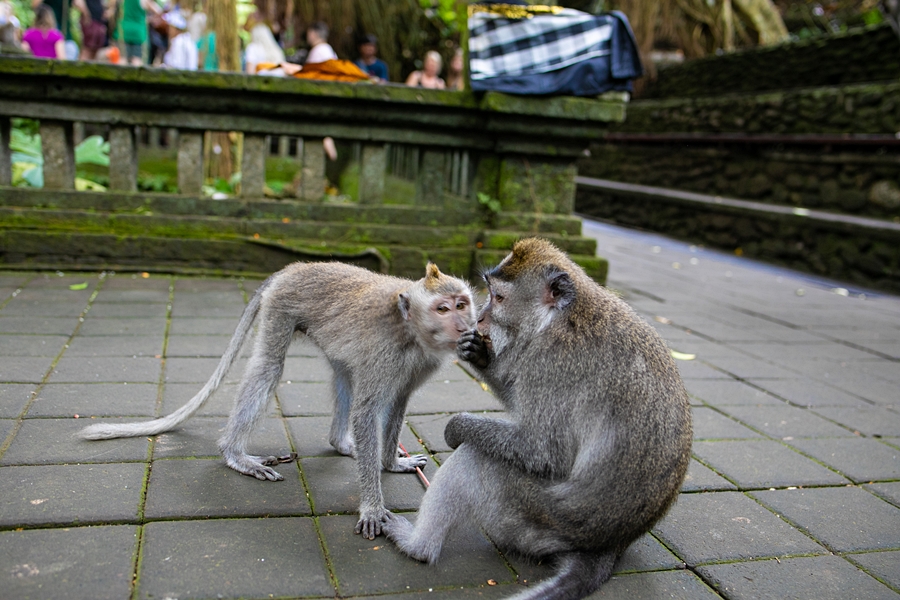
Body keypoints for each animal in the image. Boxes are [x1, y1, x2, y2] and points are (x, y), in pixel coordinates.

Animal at [79, 262, 478, 540]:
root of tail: (295, 268)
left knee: (342, 371)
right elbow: (368, 411)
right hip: (281, 307)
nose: (464, 327)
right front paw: (371, 507)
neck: (410, 332)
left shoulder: (419, 364)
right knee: (269, 367)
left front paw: (390, 463)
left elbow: (398, 402)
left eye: (462, 304)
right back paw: (235, 455)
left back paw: (340, 443)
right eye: (443, 309)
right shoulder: (384, 353)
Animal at [384, 239, 692, 600]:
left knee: (476, 458)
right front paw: (480, 355)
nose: (481, 317)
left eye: (499, 297)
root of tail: (609, 545)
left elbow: (542, 450)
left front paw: (455, 427)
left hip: (528, 519)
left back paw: (417, 545)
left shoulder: (551, 364)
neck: (558, 318)